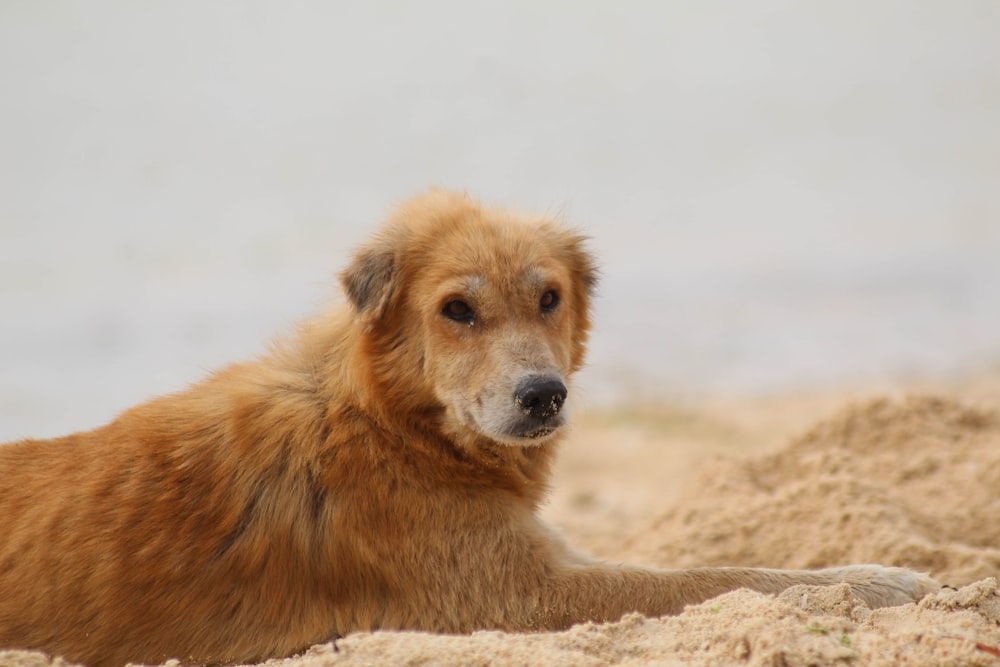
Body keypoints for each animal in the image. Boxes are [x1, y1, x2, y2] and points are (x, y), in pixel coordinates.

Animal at [0, 190, 936, 667]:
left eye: (549, 296)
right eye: (457, 309)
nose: (544, 395)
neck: (391, 425)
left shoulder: (543, 557)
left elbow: (722, 568)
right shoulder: (524, 595)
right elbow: (715, 577)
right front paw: (881, 580)